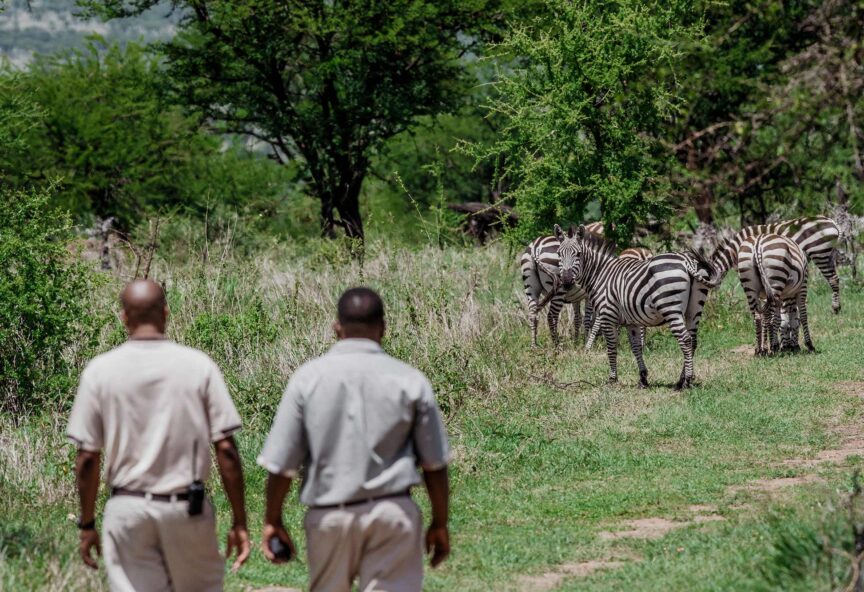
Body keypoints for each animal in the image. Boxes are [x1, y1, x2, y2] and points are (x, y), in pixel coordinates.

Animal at [556, 223, 720, 388]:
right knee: (693, 340)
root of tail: (686, 260)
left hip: (671, 308)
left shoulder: (607, 315)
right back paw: (682, 379)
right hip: (694, 309)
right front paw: (643, 378)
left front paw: (612, 379)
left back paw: (686, 381)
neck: (600, 274)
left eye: (578, 254)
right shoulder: (631, 322)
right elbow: (636, 348)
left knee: (685, 339)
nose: (566, 282)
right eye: (558, 254)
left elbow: (611, 347)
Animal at [708, 214, 844, 314]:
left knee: (832, 279)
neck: (735, 248)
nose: (713, 305)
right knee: (836, 278)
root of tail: (832, 221)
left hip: (819, 254)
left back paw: (835, 308)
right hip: (829, 255)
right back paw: (837, 307)